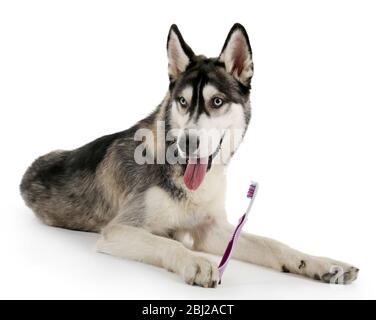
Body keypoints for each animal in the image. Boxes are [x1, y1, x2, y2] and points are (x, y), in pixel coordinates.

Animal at [19, 23, 358, 288]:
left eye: (217, 101)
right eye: (182, 101)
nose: (188, 143)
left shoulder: (212, 230)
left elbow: (272, 244)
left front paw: (320, 263)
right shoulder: (119, 230)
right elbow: (166, 241)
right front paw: (195, 262)